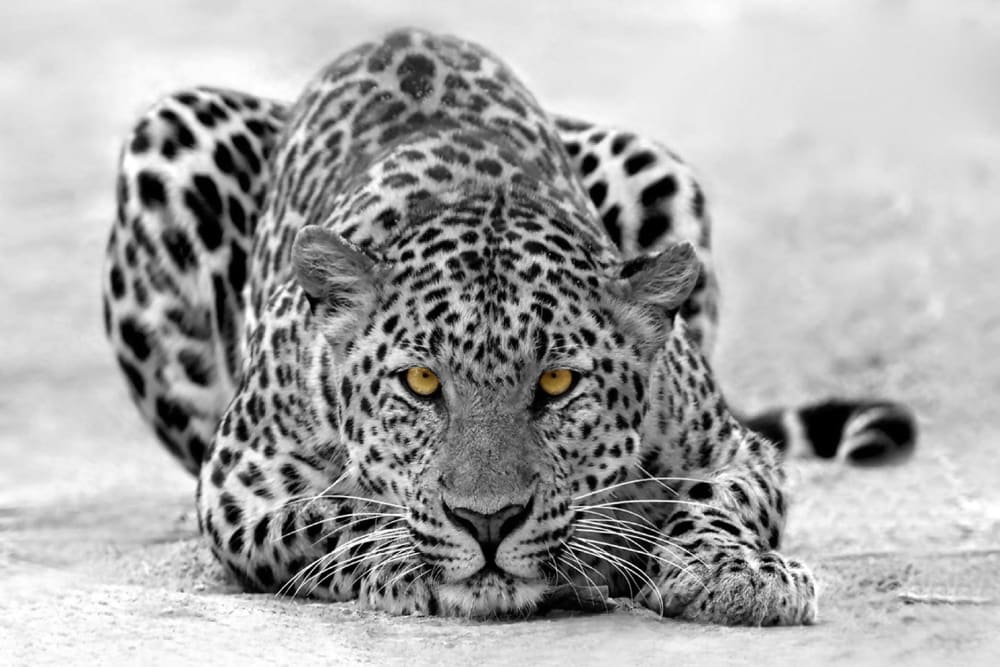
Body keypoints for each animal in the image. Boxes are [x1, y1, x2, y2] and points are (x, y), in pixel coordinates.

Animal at [102, 28, 916, 624]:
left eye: (555, 383)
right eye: (421, 382)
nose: (487, 523)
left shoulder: (735, 450)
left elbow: (718, 502)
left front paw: (737, 570)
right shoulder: (240, 483)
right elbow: (331, 512)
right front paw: (403, 556)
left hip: (654, 164)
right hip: (170, 138)